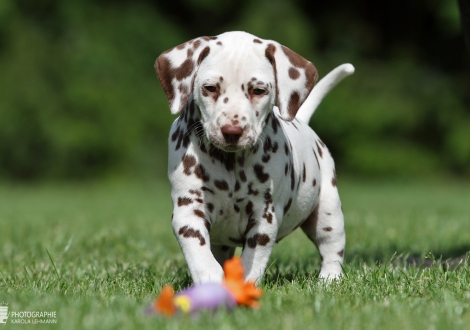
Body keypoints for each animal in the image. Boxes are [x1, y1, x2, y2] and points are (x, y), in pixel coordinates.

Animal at [156, 31, 354, 284]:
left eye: (258, 90)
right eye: (210, 88)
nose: (232, 131)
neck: (230, 163)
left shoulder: (264, 218)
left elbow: (252, 259)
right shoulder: (188, 210)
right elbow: (200, 255)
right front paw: (210, 281)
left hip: (328, 210)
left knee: (331, 248)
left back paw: (329, 280)